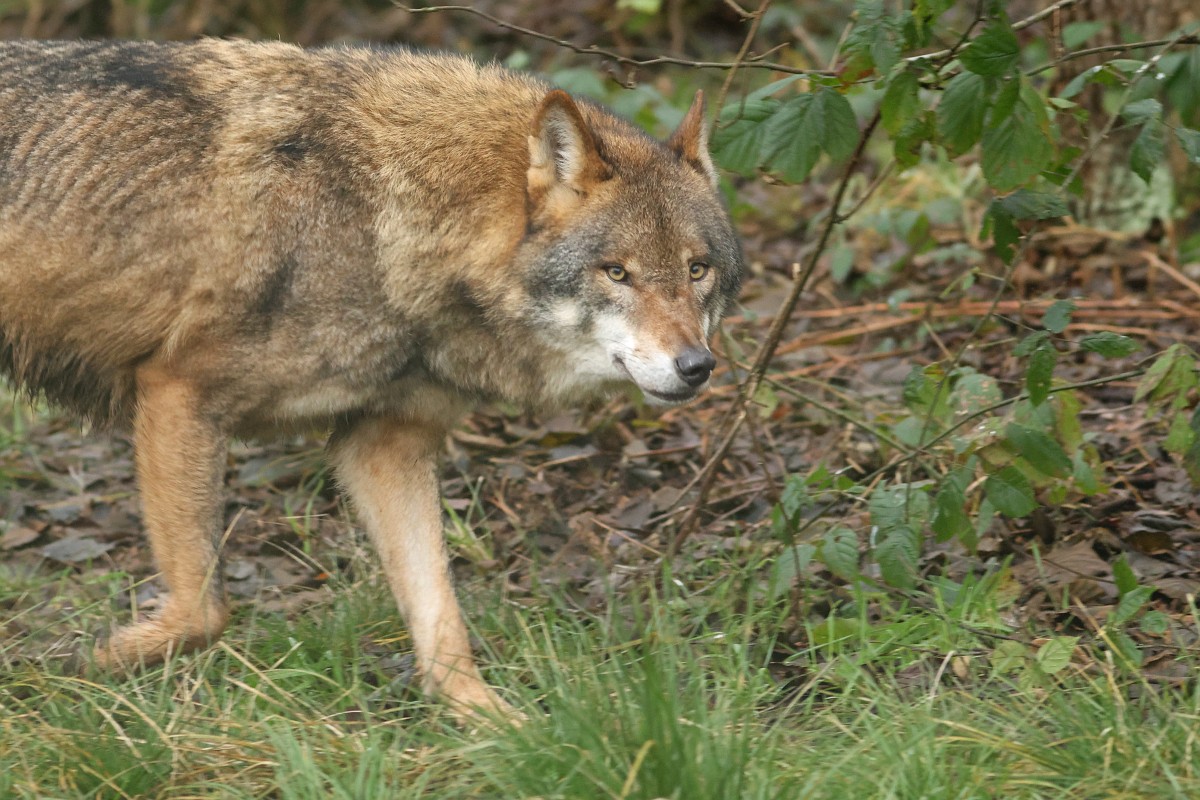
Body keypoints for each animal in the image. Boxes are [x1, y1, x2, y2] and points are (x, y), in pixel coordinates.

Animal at [0, 39, 744, 718]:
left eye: (697, 269)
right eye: (617, 272)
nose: (696, 366)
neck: (382, 216)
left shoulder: (387, 443)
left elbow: (441, 619)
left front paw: (494, 726)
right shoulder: (177, 396)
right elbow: (202, 613)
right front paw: (77, 668)